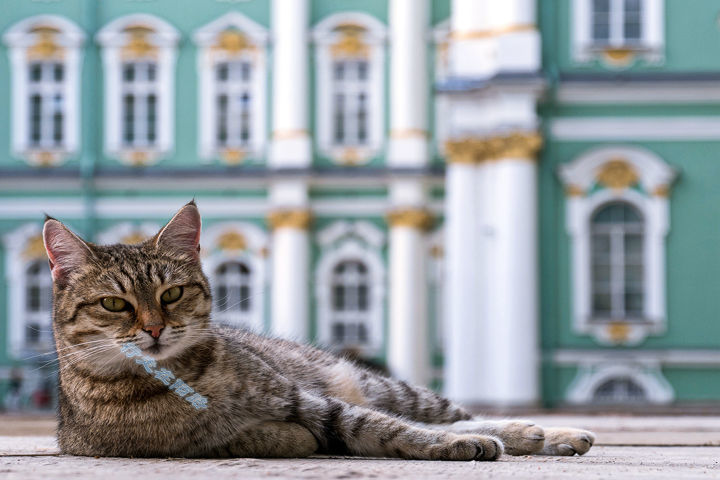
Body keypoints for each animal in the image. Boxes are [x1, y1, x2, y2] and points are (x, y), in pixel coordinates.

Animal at [46, 201, 596, 460]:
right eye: (114, 304)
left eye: (172, 294)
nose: (157, 329)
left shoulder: (306, 400)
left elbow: (384, 426)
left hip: (379, 385)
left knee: (450, 415)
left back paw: (547, 432)